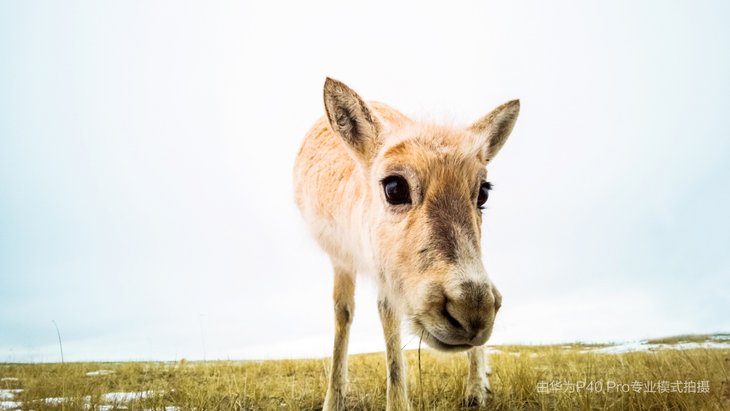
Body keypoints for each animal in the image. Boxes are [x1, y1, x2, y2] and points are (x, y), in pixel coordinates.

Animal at [292, 79, 516, 410]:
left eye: (483, 192)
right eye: (394, 186)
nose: (472, 311)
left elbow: (386, 311)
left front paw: (397, 402)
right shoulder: (341, 257)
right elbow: (342, 313)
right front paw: (333, 399)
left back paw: (476, 391)